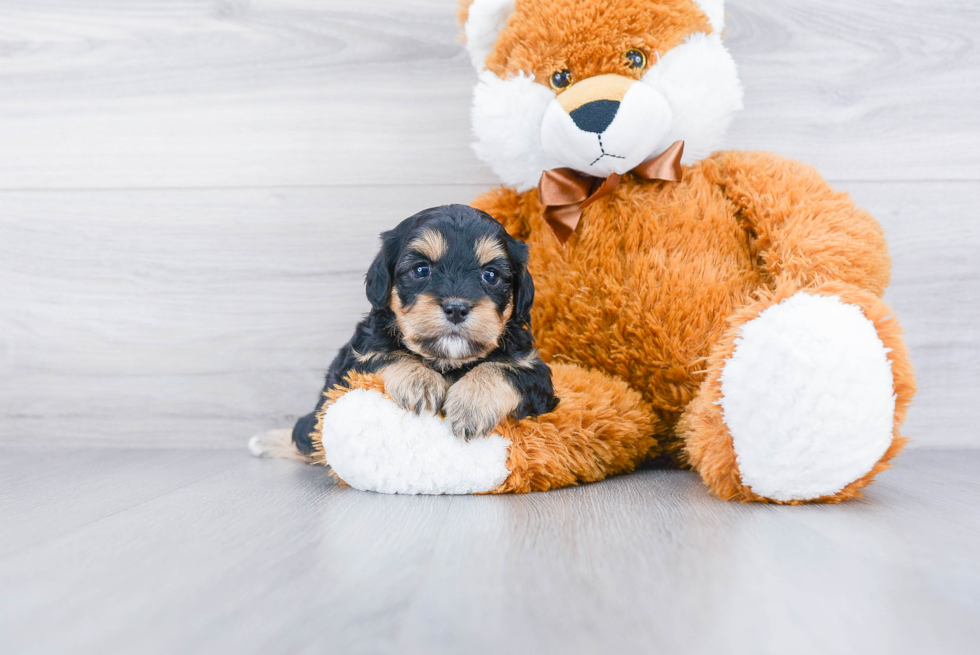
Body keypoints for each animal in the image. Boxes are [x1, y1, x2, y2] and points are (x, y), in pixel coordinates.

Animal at [290, 202, 560, 458]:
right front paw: (420, 382)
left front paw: (471, 404)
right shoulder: (355, 361)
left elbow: (501, 369)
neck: (448, 360)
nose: (456, 308)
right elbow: (386, 355)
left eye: (491, 275)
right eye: (421, 269)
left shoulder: (533, 369)